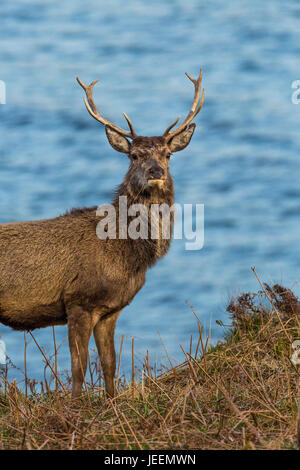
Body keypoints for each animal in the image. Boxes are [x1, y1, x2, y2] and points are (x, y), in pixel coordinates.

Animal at [0, 70, 204, 398]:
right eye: (134, 155)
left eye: (168, 154)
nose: (156, 171)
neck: (127, 254)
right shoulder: (78, 301)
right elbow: (79, 368)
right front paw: (75, 405)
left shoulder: (111, 310)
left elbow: (109, 363)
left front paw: (111, 401)